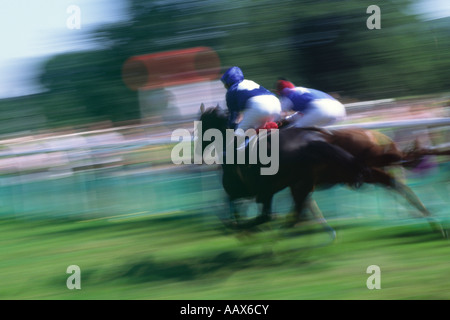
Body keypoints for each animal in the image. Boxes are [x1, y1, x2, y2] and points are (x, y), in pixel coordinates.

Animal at [199, 104, 448, 239]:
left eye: (201, 124)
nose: (200, 149)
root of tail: (377, 135)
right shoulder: (292, 185)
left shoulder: (254, 188)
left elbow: (233, 206)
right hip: (366, 170)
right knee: (396, 183)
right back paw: (432, 221)